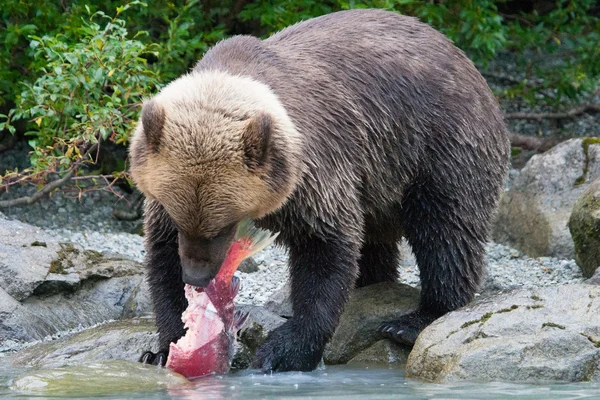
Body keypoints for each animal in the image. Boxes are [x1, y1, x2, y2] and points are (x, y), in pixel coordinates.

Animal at [129, 8, 508, 372]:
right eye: (181, 218)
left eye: (223, 225)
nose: (196, 276)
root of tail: (463, 59)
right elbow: (162, 257)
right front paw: (164, 347)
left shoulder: (314, 169)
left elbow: (324, 250)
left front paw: (283, 352)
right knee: (378, 244)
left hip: (437, 144)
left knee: (445, 228)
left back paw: (414, 320)